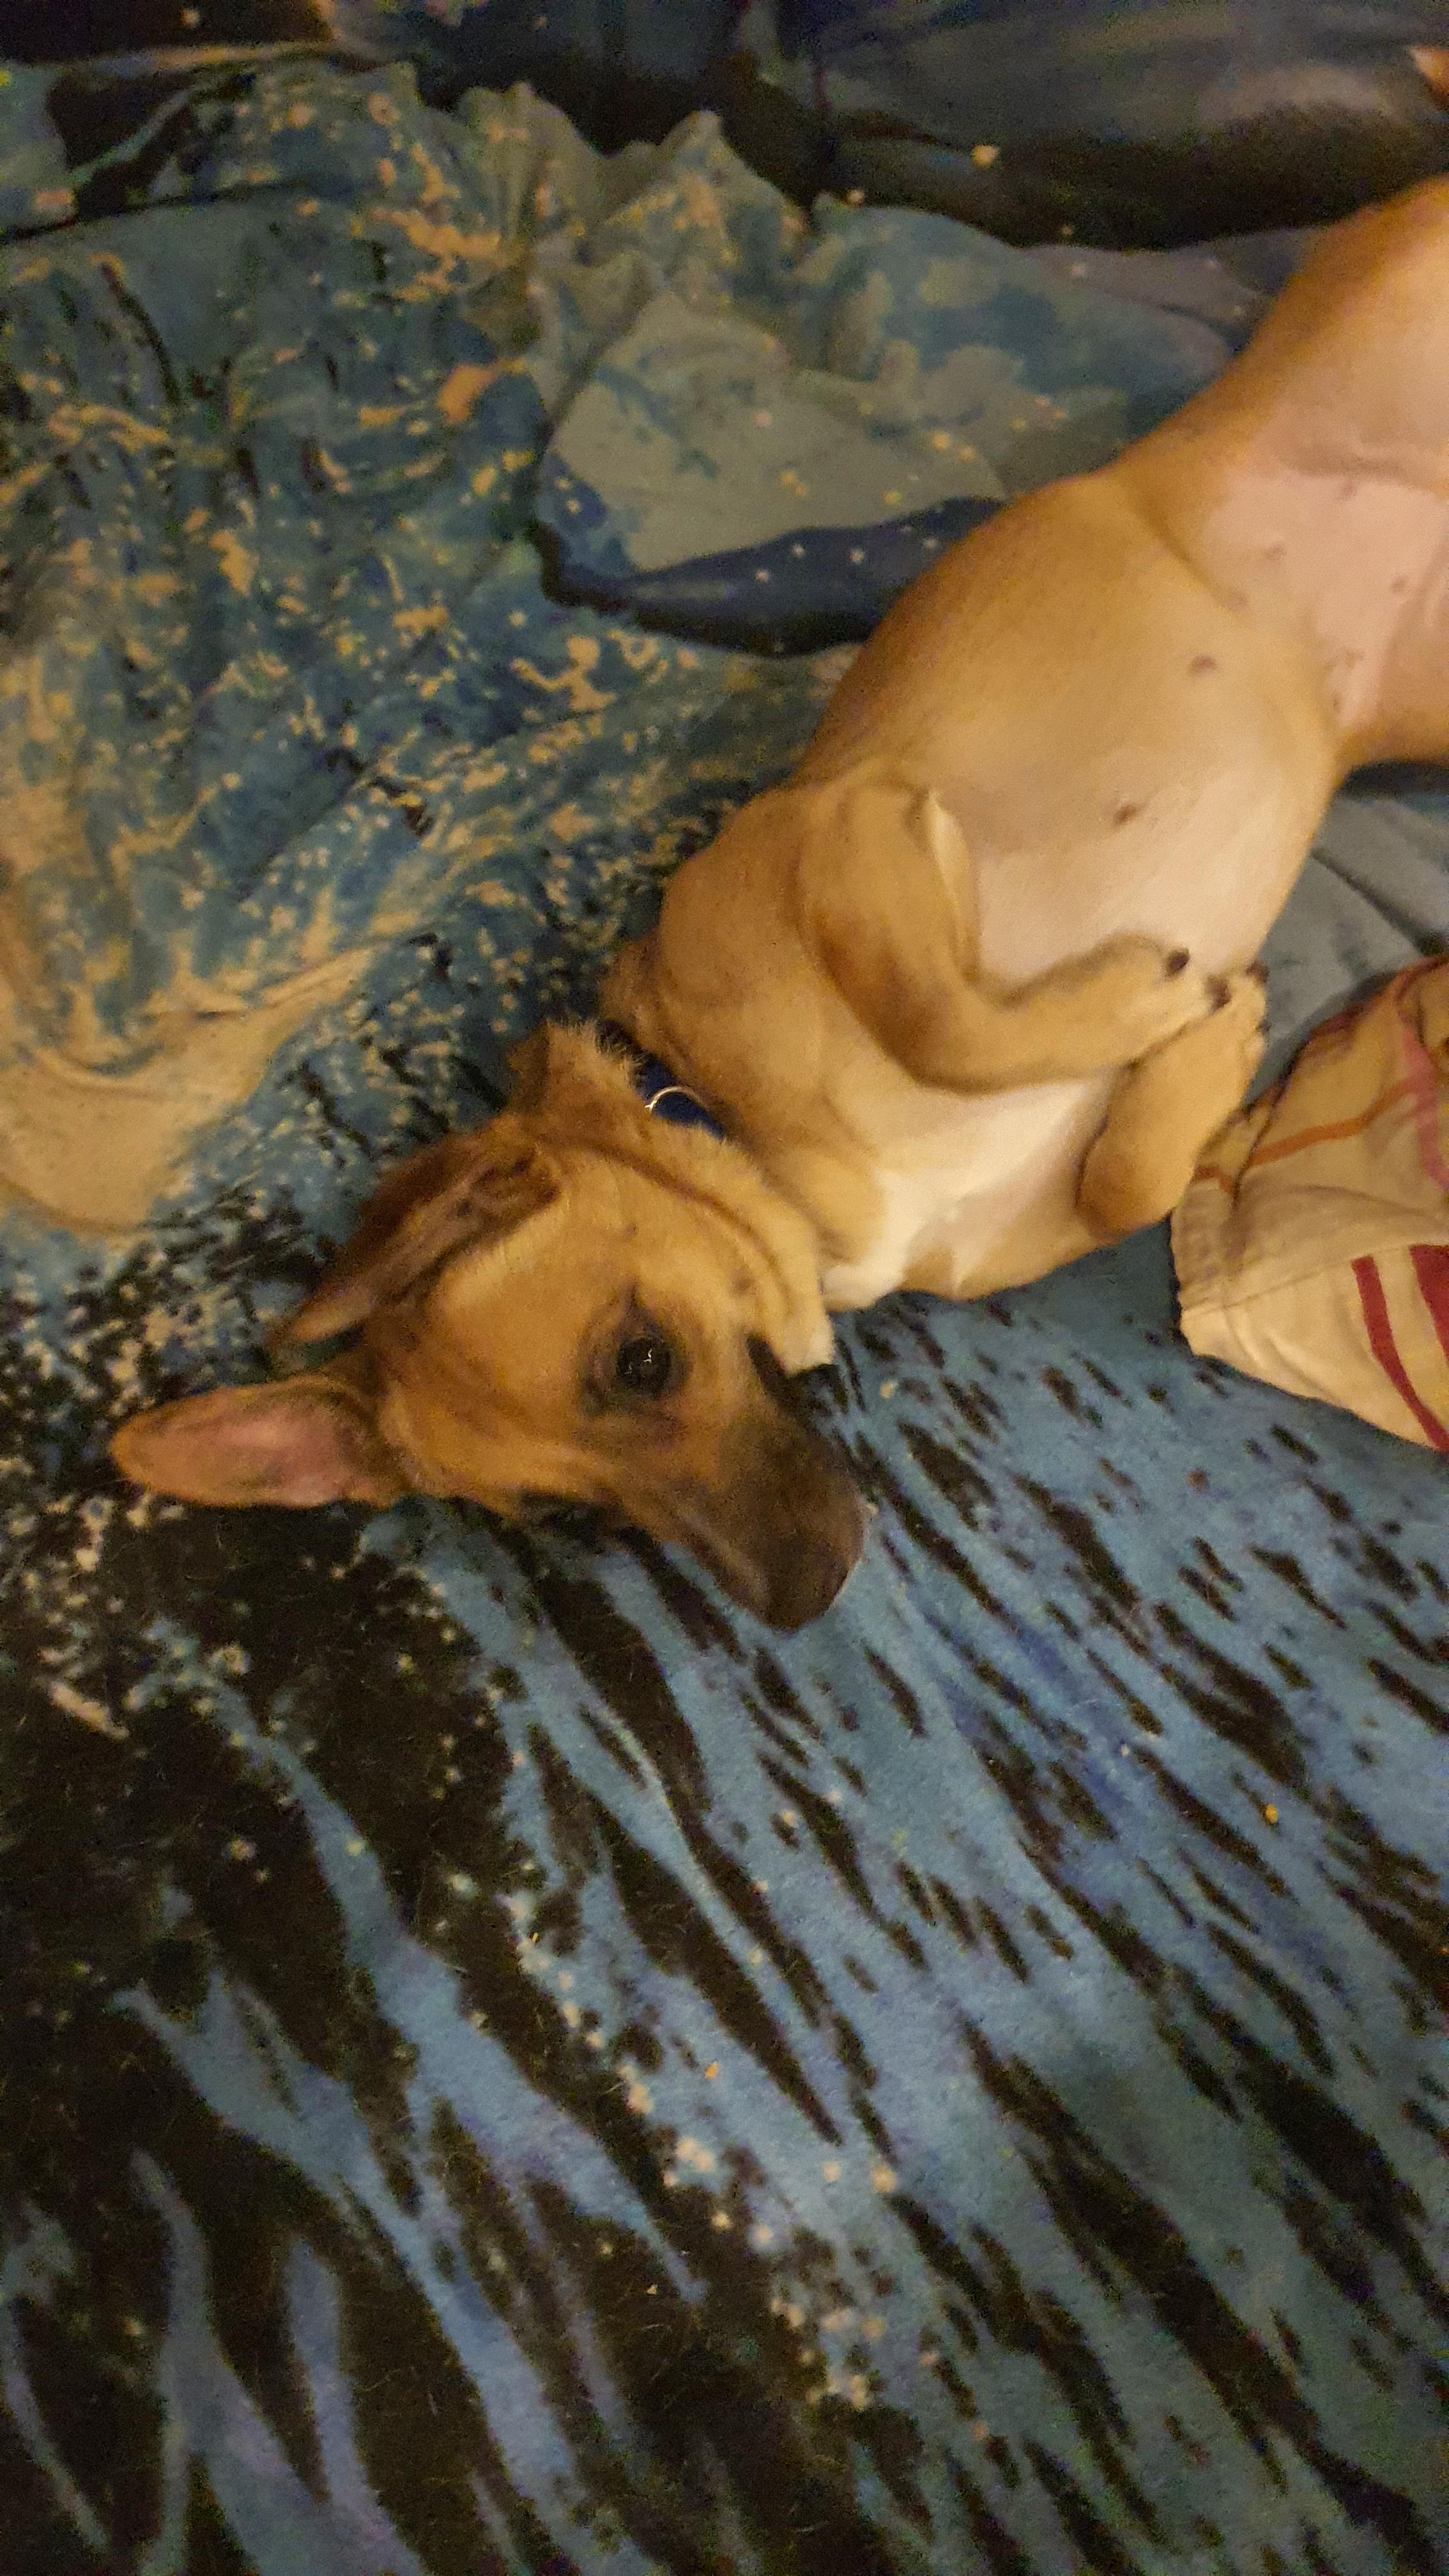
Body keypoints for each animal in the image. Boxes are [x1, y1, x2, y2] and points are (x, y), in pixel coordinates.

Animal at [113, 178, 1449, 1625]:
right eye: (572, 1517)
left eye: (639, 1360)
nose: (800, 1598)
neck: (738, 1132)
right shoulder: (1007, 1210)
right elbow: (1124, 1184)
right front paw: (1199, 1051)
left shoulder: (841, 833)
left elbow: (943, 1020)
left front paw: (1163, 1005)